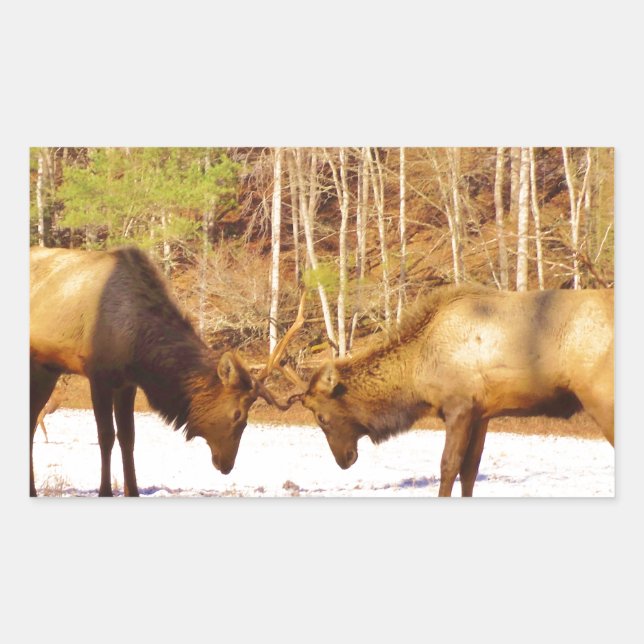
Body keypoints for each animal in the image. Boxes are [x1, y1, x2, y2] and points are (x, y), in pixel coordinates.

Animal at [30, 246, 303, 497]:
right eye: (238, 415)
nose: (227, 465)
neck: (138, 351)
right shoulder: (99, 375)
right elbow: (106, 436)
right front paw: (105, 491)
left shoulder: (127, 382)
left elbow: (128, 437)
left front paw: (132, 491)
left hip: (47, 369)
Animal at [278, 284, 614, 497]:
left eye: (321, 417)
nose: (344, 460)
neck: (416, 376)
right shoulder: (482, 413)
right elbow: (470, 470)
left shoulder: (459, 406)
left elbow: (448, 466)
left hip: (600, 396)